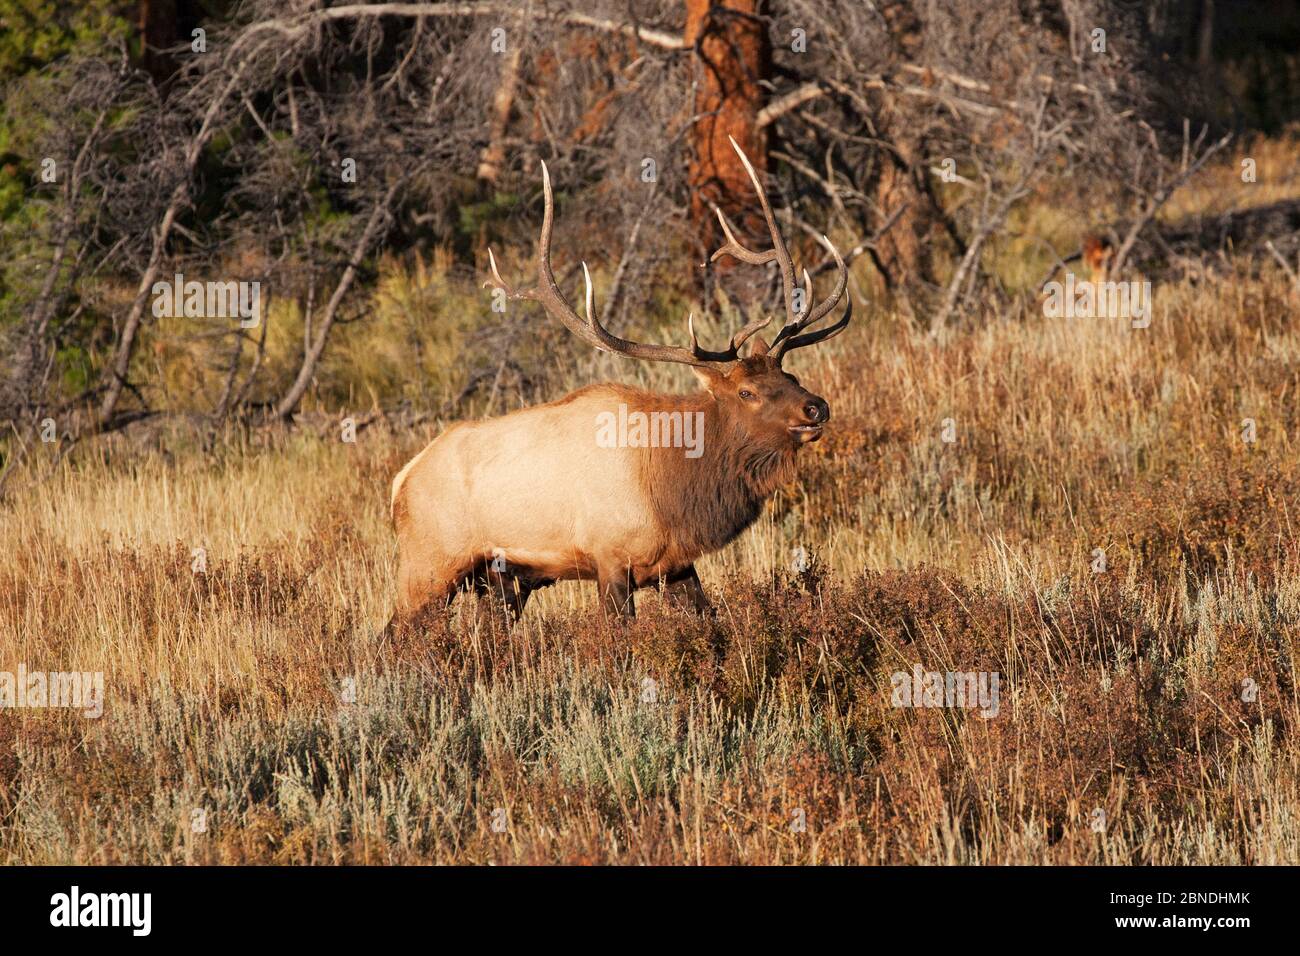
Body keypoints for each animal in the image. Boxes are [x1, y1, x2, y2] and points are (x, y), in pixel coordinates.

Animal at [388, 138, 850, 627]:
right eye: (747, 392)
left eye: (790, 375)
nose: (816, 406)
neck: (674, 490)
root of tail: (400, 481)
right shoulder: (609, 559)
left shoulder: (677, 564)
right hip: (428, 566)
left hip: (502, 579)